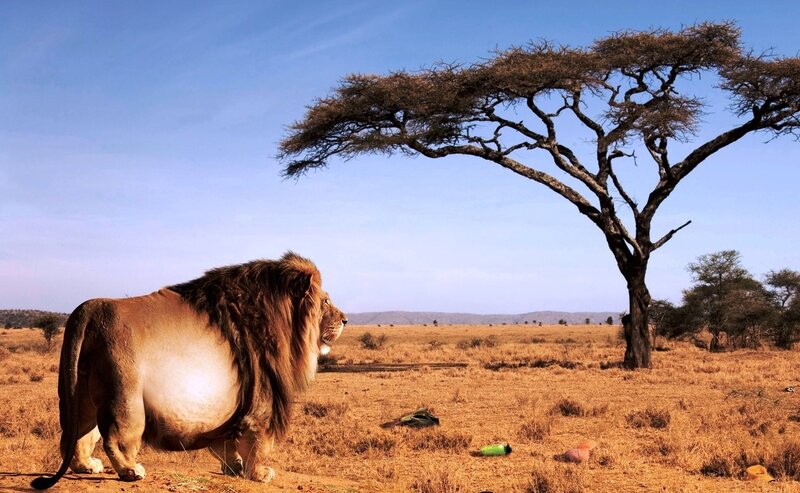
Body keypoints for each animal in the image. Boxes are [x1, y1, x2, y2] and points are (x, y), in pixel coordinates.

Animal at [32, 252, 347, 489]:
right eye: (326, 301)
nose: (345, 319)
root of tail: (88, 309)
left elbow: (226, 444)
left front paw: (235, 467)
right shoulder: (262, 401)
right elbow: (257, 442)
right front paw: (259, 473)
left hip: (78, 392)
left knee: (75, 434)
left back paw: (87, 466)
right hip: (126, 397)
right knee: (114, 438)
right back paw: (130, 471)